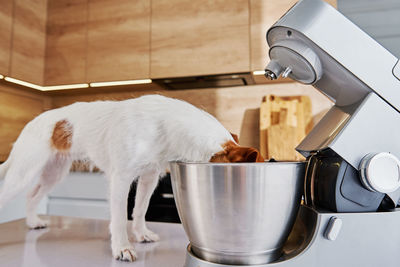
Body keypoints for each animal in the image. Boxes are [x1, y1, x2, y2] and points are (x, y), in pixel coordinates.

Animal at [0, 94, 264, 262]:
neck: (164, 126)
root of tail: (32, 122)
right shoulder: (121, 179)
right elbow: (119, 218)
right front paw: (122, 247)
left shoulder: (149, 177)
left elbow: (140, 208)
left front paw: (141, 233)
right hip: (23, 171)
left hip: (54, 173)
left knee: (32, 196)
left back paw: (33, 221)